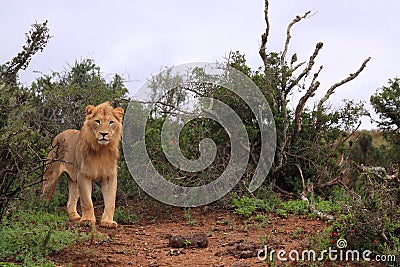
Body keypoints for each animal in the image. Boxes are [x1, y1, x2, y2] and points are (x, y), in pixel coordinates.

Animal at [42, 101, 123, 229]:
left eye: (111, 122)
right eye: (97, 121)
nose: (103, 134)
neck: (102, 150)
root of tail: (59, 135)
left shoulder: (109, 176)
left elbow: (110, 202)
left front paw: (107, 222)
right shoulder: (84, 175)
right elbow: (87, 201)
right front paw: (88, 221)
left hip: (74, 180)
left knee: (70, 201)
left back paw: (75, 217)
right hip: (51, 176)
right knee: (44, 197)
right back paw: (42, 212)